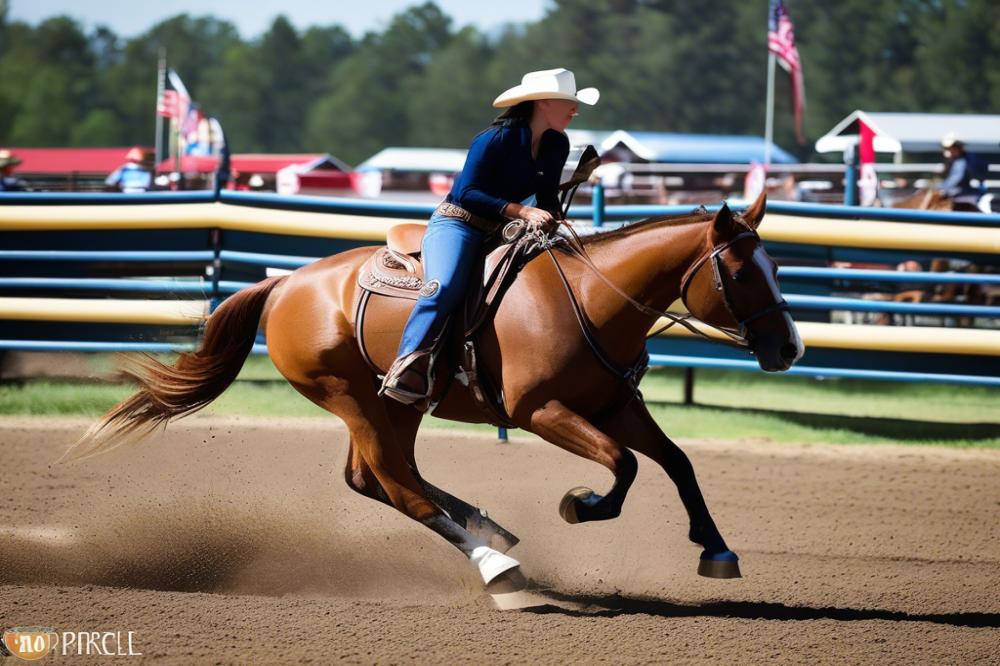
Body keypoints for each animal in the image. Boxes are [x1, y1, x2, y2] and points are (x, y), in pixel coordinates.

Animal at [68, 192, 804, 592]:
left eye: (775, 264)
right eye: (743, 271)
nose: (790, 348)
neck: (591, 301)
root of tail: (284, 284)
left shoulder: (617, 406)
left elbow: (677, 462)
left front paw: (717, 550)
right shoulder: (543, 412)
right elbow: (623, 468)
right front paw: (579, 505)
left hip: (395, 404)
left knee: (377, 477)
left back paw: (489, 527)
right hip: (353, 399)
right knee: (394, 483)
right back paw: (496, 566)